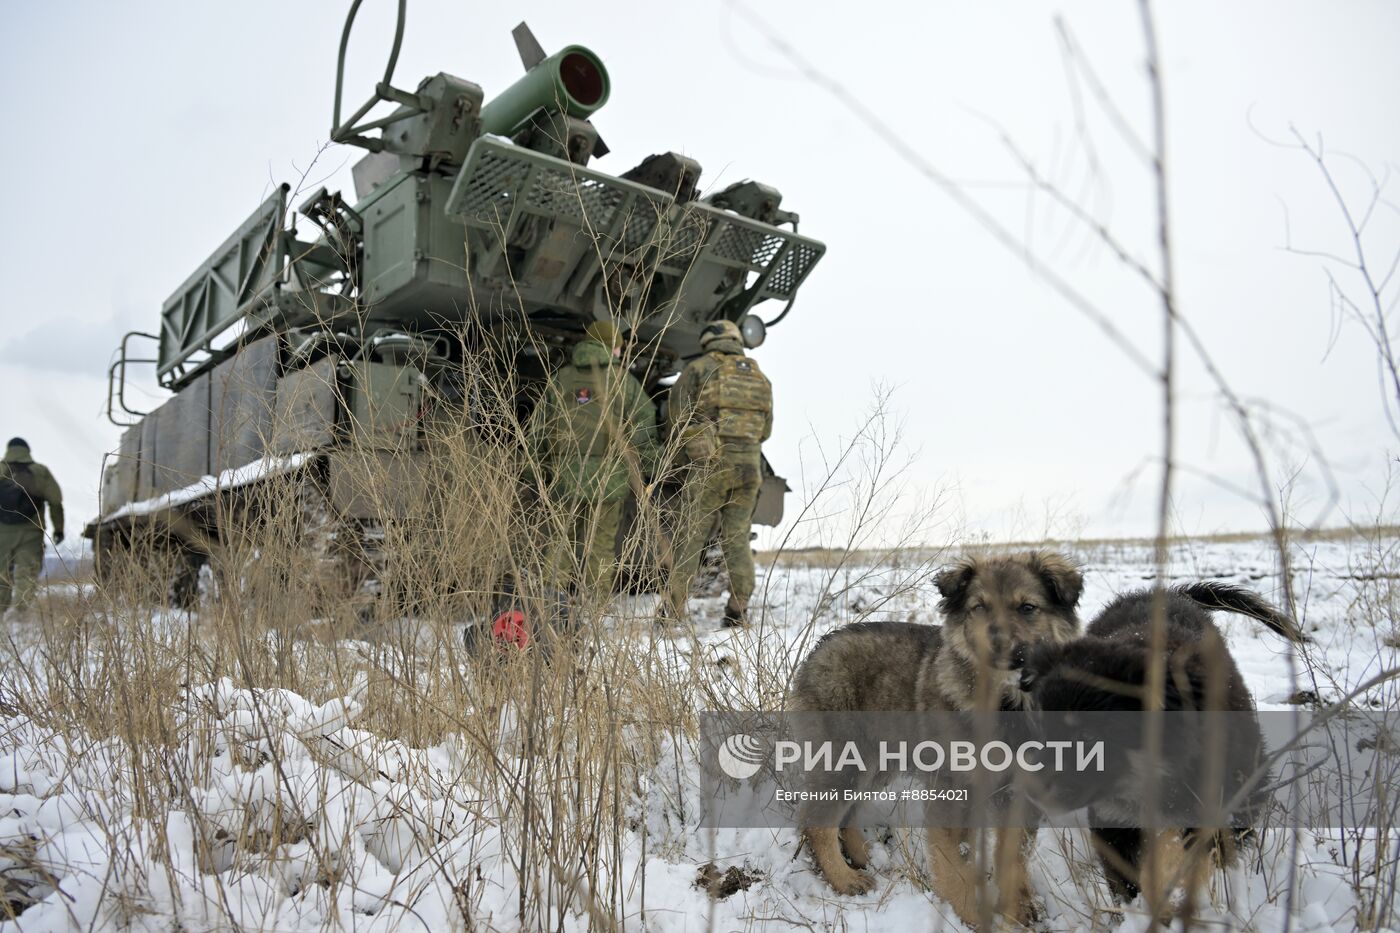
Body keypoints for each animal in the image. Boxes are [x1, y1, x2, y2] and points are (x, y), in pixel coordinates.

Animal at [789, 549, 1080, 918]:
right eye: (979, 607)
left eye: (1027, 608)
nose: (998, 645)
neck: (1005, 701)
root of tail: (819, 648)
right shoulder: (953, 789)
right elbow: (953, 861)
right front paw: (971, 913)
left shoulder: (1019, 791)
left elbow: (1012, 855)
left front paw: (1018, 906)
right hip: (842, 761)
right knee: (818, 822)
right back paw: (844, 879)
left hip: (875, 763)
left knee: (846, 813)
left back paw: (862, 857)